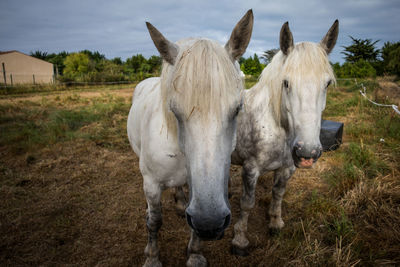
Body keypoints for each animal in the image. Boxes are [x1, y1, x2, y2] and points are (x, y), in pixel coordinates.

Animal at [127, 10, 253, 267]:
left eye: (237, 109)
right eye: (174, 111)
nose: (210, 223)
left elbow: (193, 228)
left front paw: (195, 254)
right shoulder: (151, 185)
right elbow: (154, 221)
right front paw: (152, 257)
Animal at [230, 20, 340, 255]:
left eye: (327, 83)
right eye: (286, 82)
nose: (307, 153)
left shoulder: (287, 168)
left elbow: (278, 194)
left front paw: (275, 223)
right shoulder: (250, 169)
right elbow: (247, 203)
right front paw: (240, 240)